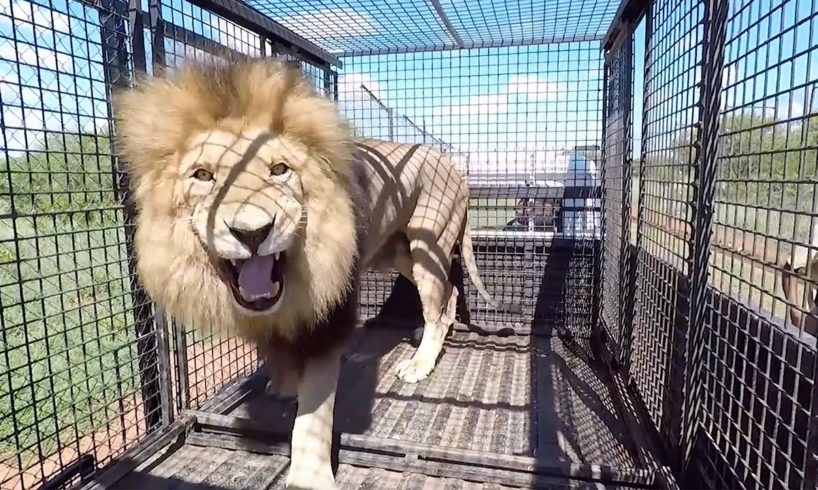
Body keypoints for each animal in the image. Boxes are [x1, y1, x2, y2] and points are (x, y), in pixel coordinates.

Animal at [112, 57, 509, 489]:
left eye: (279, 169)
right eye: (202, 175)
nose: (252, 233)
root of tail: (453, 163)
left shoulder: (330, 317)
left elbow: (314, 414)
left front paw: (308, 476)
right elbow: (275, 350)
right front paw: (285, 385)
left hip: (428, 245)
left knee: (438, 298)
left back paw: (420, 363)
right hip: (398, 252)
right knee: (448, 295)